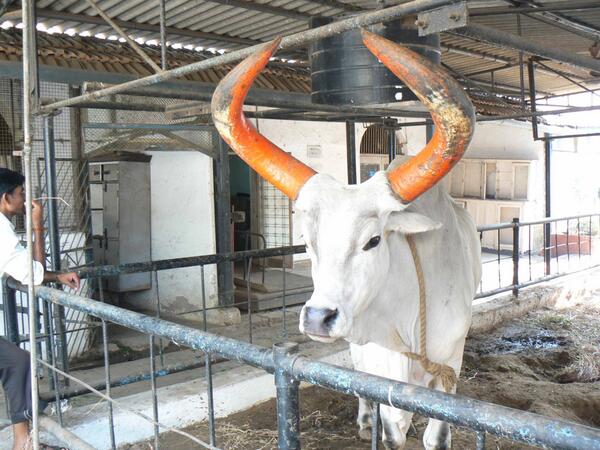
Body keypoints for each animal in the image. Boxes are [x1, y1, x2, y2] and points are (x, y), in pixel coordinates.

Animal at [212, 30, 481, 450]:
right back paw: (364, 417)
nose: (317, 317)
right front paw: (373, 422)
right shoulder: (376, 362)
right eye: (308, 242)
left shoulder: (450, 362)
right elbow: (390, 429)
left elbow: (436, 436)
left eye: (373, 240)